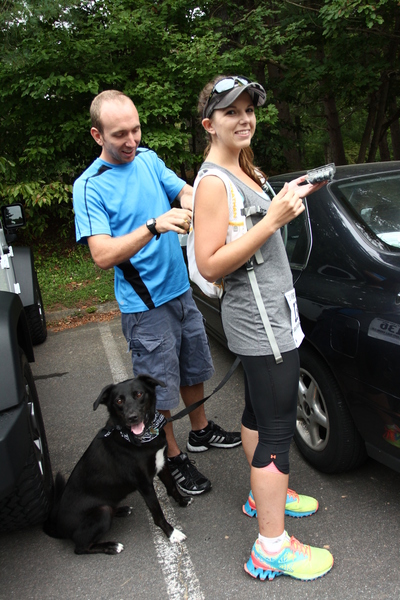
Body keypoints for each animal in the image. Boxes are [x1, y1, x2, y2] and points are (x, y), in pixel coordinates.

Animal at [43, 375, 191, 555]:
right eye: (119, 401)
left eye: (139, 394)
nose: (132, 417)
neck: (142, 437)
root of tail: (58, 527)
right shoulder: (144, 484)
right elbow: (158, 513)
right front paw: (172, 533)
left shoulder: (162, 465)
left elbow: (172, 486)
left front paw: (182, 501)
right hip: (102, 512)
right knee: (80, 548)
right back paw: (111, 546)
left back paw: (122, 510)